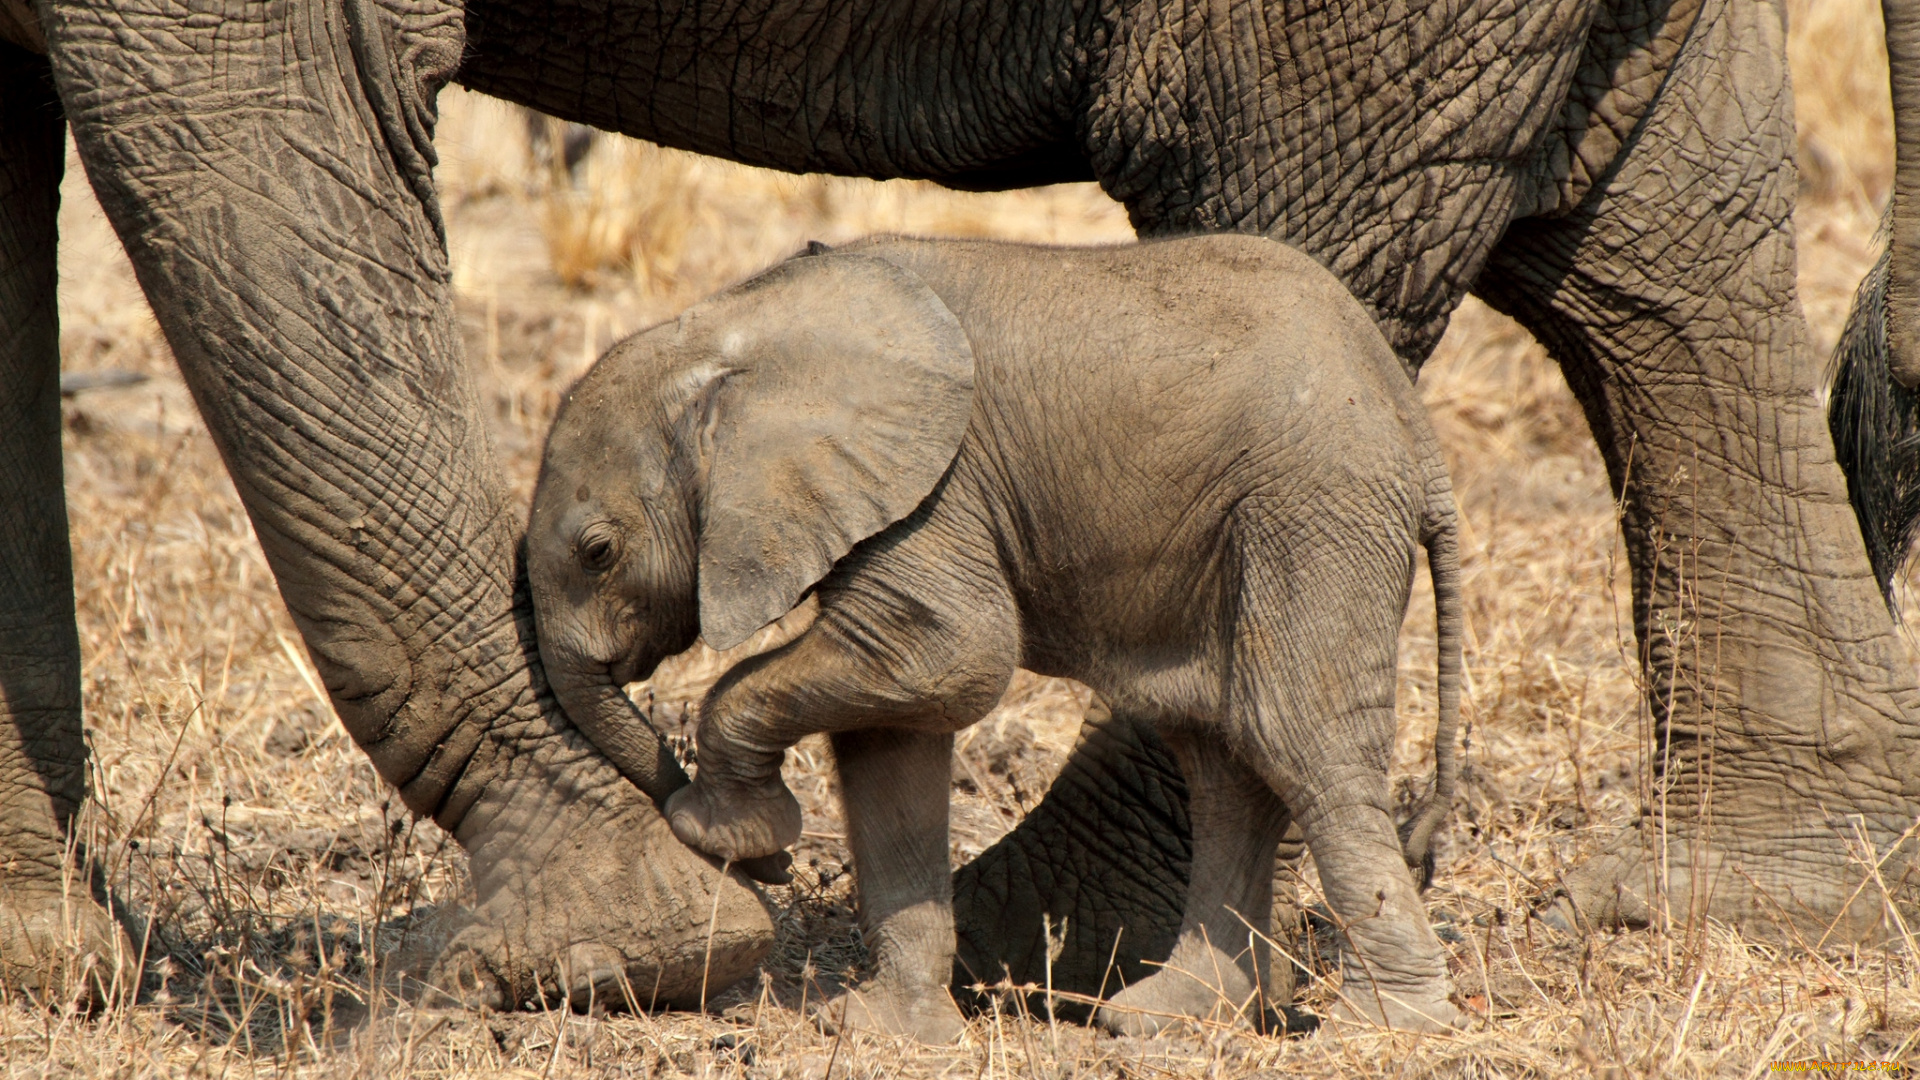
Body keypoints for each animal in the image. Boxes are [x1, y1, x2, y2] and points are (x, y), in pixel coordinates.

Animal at [533, 233, 1459, 1037]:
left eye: (598, 552)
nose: (773, 878)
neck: (732, 325)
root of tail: (1414, 421)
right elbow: (893, 736)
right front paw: (883, 1030)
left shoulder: (936, 492)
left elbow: (954, 659)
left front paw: (725, 833)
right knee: (1223, 756)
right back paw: (1167, 1019)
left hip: (1313, 506)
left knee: (1296, 739)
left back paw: (1388, 1025)